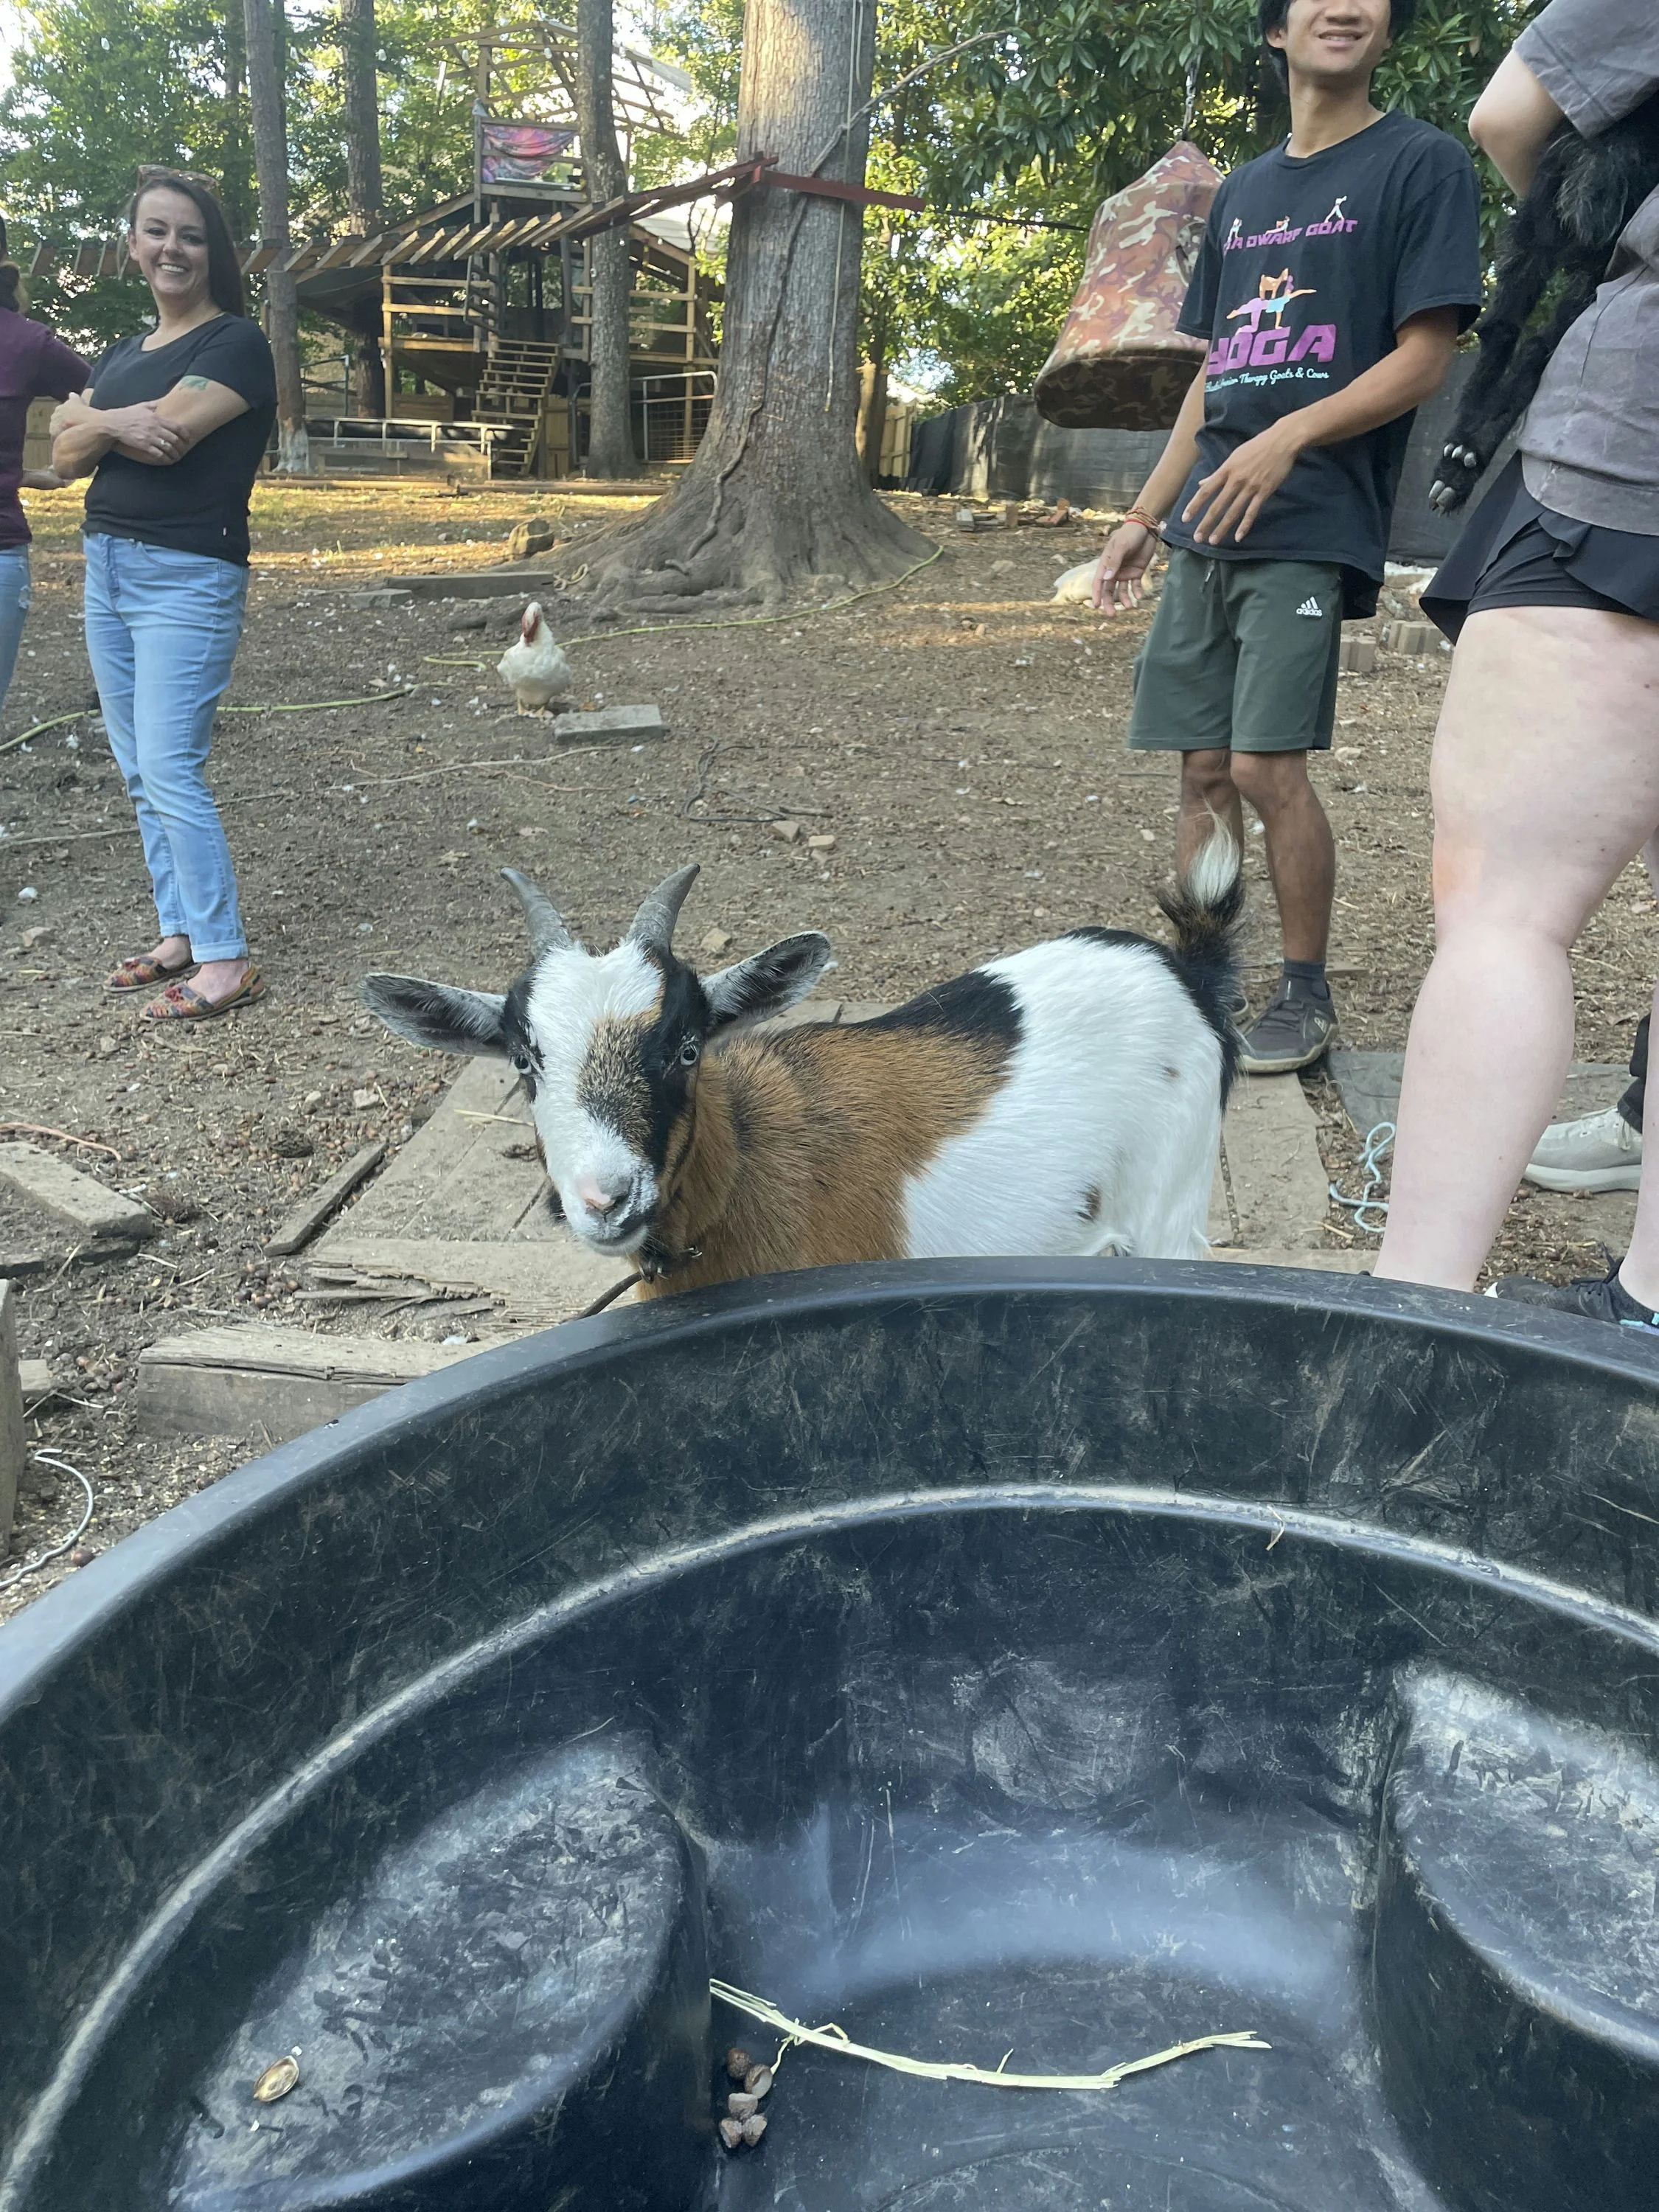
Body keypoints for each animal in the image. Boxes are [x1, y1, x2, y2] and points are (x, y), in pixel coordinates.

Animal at [361, 831, 1244, 1297]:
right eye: (523, 1060)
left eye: (688, 1047)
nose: (606, 1199)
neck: (747, 1167)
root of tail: (1184, 968)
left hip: (1173, 1206)